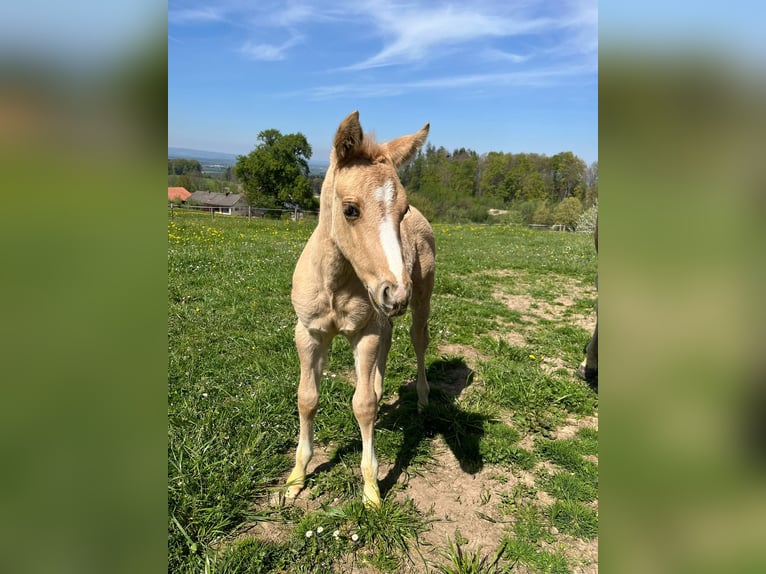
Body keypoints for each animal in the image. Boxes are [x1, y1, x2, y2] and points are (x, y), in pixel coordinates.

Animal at [284, 112, 436, 508]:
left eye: (402, 210)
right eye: (350, 209)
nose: (396, 293)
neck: (335, 282)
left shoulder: (364, 332)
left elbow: (363, 404)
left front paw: (371, 491)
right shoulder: (308, 333)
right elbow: (306, 398)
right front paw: (296, 478)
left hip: (420, 297)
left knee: (417, 339)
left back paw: (424, 399)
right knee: (389, 337)